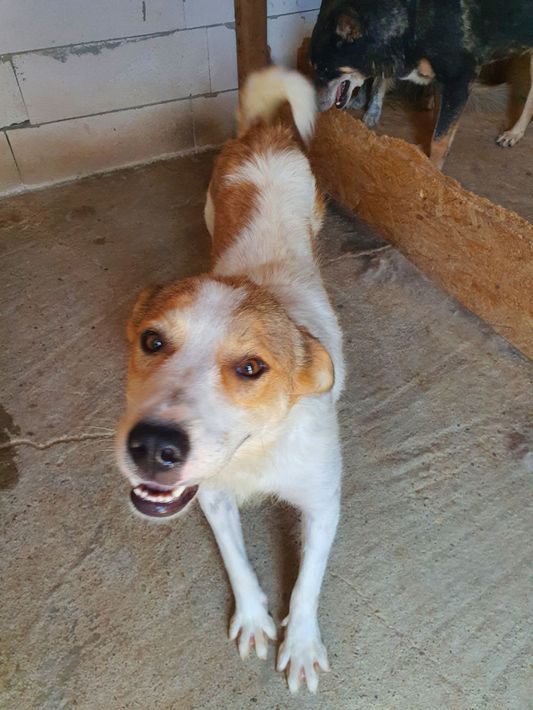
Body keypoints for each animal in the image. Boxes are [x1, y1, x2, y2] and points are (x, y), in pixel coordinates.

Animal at [115, 66, 345, 694]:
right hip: (211, 208)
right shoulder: (212, 498)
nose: (152, 447)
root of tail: (266, 133)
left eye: (250, 368)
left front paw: (301, 643)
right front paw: (254, 619)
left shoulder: (323, 503)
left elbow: (308, 583)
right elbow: (237, 562)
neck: (257, 454)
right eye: (151, 341)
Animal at [310, 0, 533, 167]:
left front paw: (435, 175)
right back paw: (514, 133)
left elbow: (440, 140)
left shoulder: (458, 82)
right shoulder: (442, 84)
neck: (411, 23)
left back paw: (514, 132)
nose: (315, 109)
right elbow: (436, 127)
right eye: (313, 67)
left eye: (324, 70)